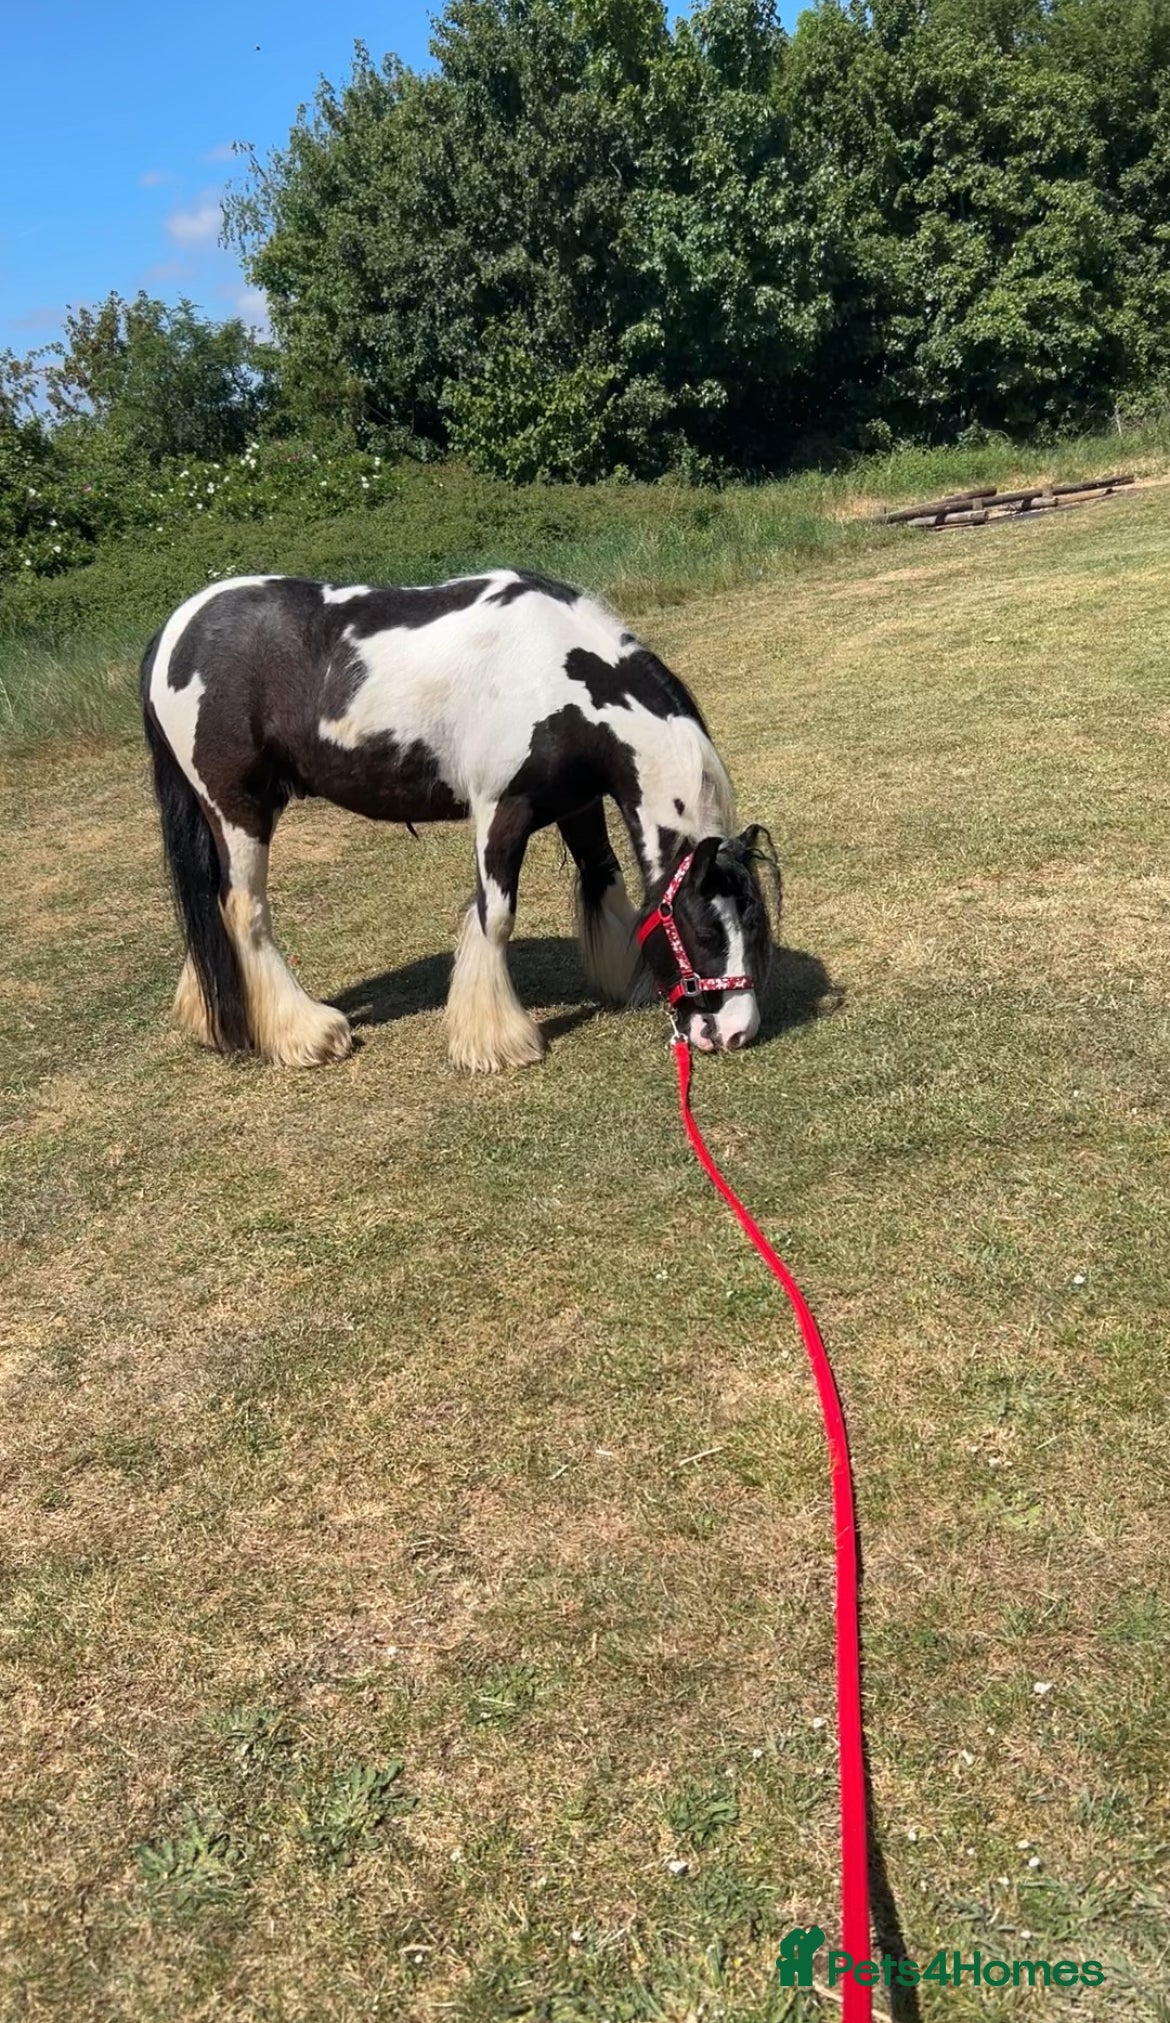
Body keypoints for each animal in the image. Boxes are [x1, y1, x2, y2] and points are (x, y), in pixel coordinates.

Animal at [140, 568, 779, 1072]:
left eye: (754, 927)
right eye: (706, 934)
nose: (737, 1032)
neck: (552, 671)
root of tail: (175, 632)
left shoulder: (577, 804)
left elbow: (606, 881)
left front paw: (631, 979)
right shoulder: (502, 812)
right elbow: (495, 916)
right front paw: (497, 1041)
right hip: (239, 808)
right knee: (244, 910)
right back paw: (308, 1033)